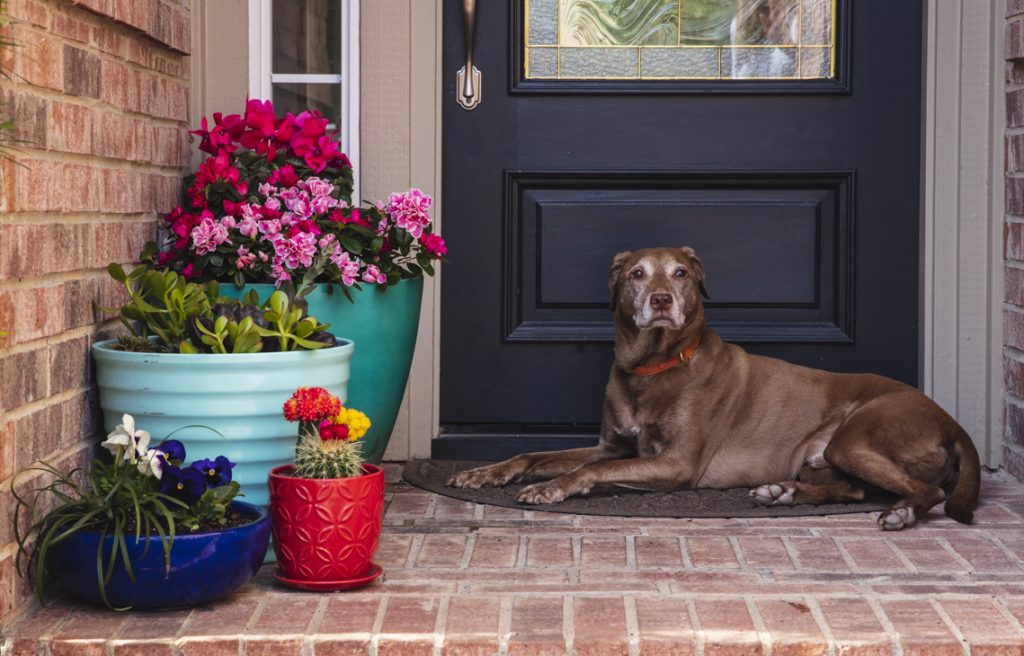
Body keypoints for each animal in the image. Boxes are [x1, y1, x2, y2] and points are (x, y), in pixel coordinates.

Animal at [450, 245, 983, 528]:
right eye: (637, 273)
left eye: (681, 273)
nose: (661, 299)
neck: (652, 368)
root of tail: (951, 422)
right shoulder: (613, 446)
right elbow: (534, 454)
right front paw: (484, 473)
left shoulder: (676, 465)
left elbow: (589, 472)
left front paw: (552, 488)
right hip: (824, 458)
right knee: (851, 490)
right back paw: (782, 493)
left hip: (856, 439)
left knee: (925, 490)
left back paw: (899, 514)